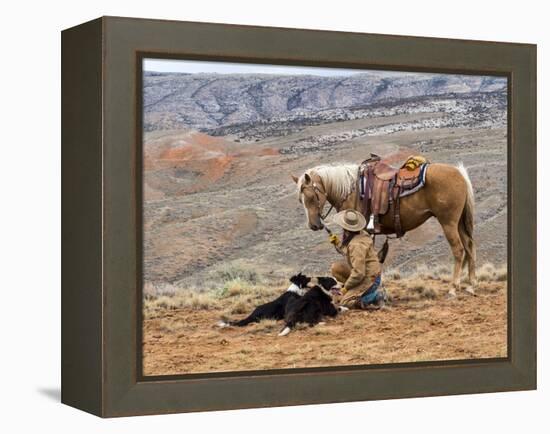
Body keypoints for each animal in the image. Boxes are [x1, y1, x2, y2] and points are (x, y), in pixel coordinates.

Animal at [294, 163, 478, 298]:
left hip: (448, 222)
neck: (351, 190)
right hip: (460, 223)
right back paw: (471, 285)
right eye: (300, 200)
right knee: (469, 247)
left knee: (459, 250)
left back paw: (453, 288)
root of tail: (459, 173)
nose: (314, 225)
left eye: (311, 197)